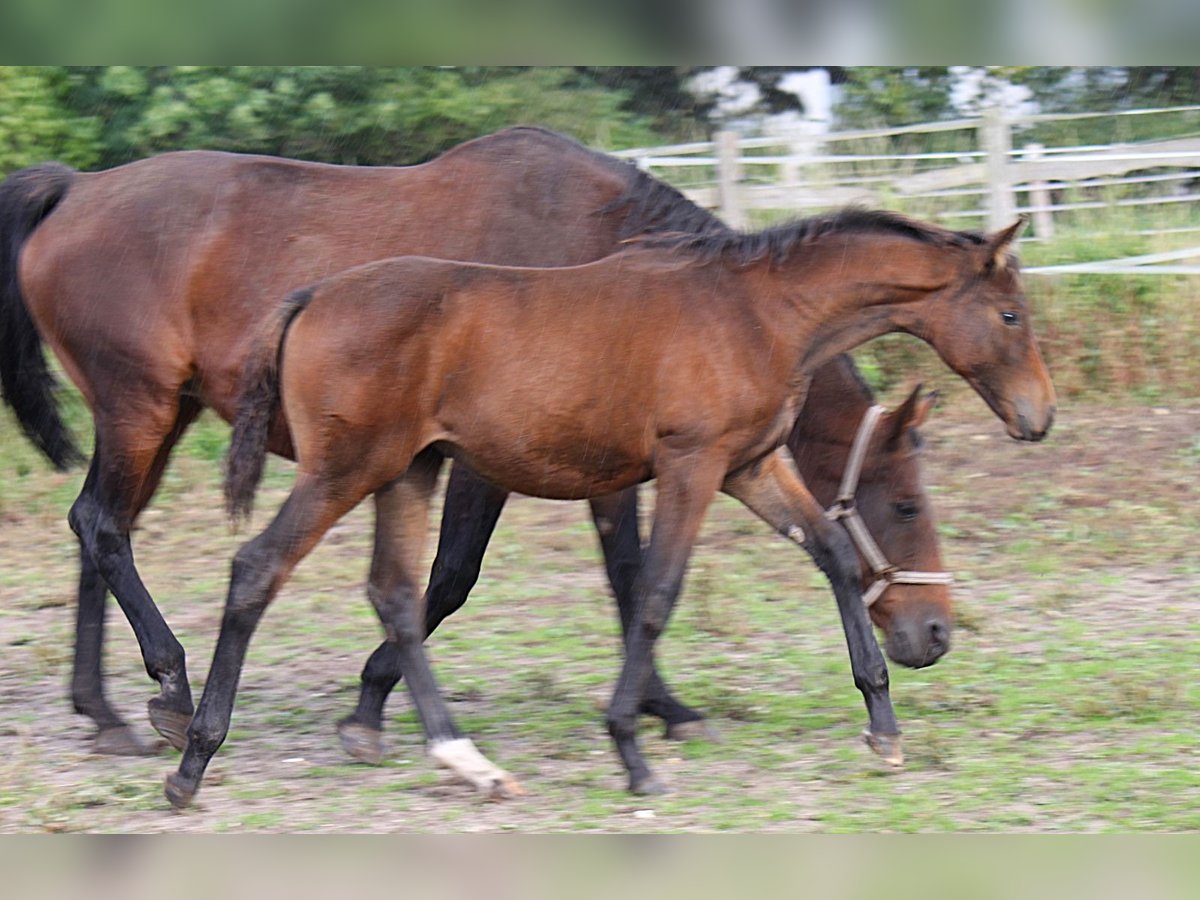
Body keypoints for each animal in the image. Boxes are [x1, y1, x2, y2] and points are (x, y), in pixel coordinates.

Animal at [0, 130, 955, 758]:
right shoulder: (516, 463)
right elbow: (500, 576)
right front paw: (661, 706)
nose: (935, 634)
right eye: (907, 504)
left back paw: (110, 710)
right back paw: (166, 685)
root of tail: (75, 190)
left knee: (97, 529)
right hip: (141, 407)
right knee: (105, 527)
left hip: (162, 416)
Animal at [164, 210, 1056, 801]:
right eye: (1011, 315)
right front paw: (632, 749)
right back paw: (192, 761)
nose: (1039, 416)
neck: (756, 314)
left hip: (409, 470)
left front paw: (884, 729)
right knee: (258, 568)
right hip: (348, 469)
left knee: (394, 594)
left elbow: (833, 556)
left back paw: (466, 760)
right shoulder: (690, 466)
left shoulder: (751, 466)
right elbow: (655, 593)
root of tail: (311, 296)